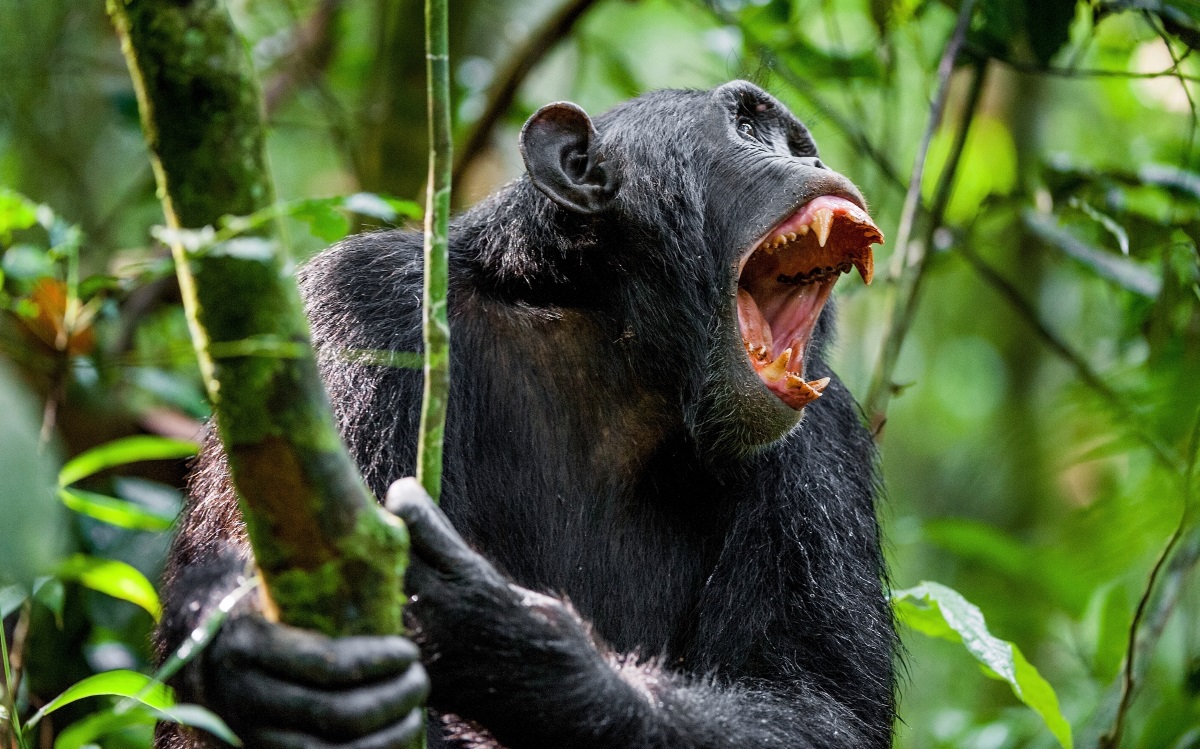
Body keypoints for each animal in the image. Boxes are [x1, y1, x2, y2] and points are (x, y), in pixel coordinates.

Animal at [154, 81, 892, 749]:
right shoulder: (355, 306)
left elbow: (819, 706)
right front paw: (245, 649)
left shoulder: (824, 440)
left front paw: (513, 637)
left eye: (797, 144)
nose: (813, 160)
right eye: (748, 127)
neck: (611, 337)